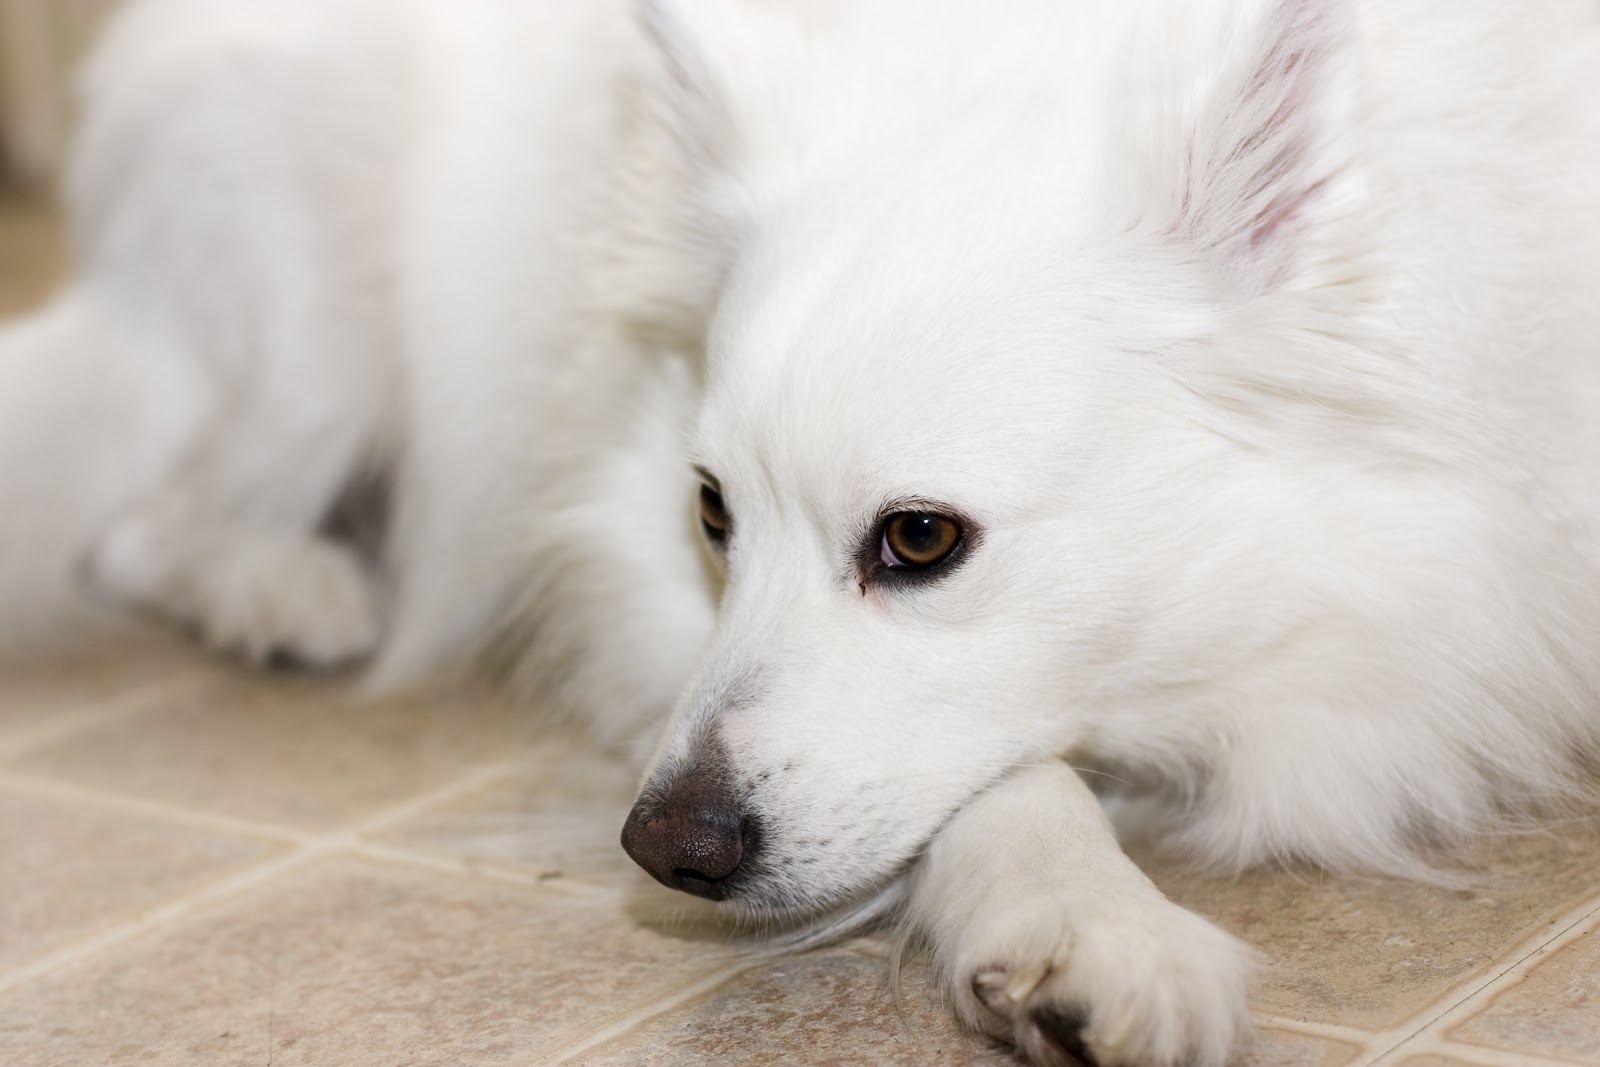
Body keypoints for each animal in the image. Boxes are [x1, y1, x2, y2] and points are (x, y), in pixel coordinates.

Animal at [3, 0, 1600, 1062]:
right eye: (712, 510)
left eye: (919, 539)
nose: (662, 846)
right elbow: (1007, 783)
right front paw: (1092, 924)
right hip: (321, 318)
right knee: (144, 514)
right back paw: (285, 586)